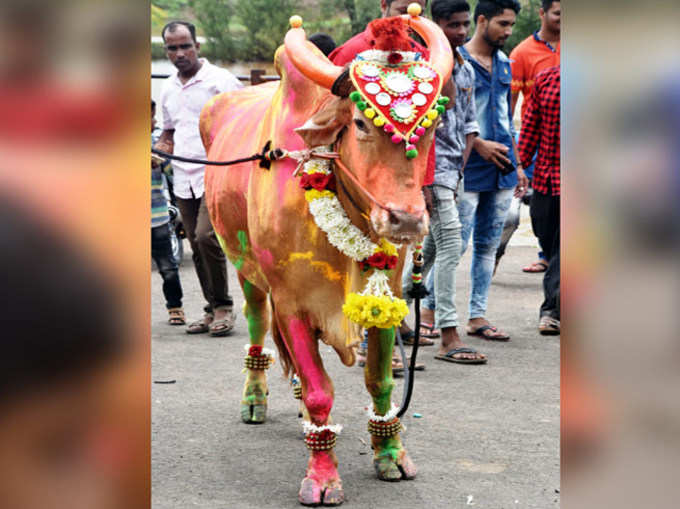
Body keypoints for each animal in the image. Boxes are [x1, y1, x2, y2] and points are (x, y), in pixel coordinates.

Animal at [199, 3, 454, 504]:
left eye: (431, 124)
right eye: (359, 123)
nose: (406, 220)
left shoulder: (388, 300)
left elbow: (380, 381)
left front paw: (390, 454)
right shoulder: (292, 304)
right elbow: (321, 391)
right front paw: (322, 475)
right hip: (246, 272)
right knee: (258, 326)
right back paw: (255, 399)